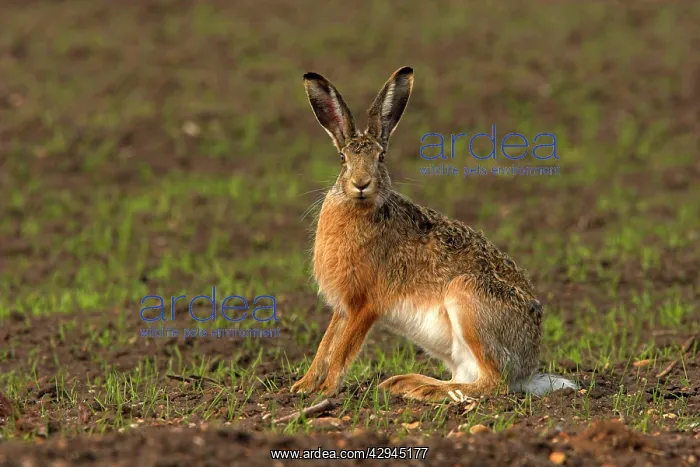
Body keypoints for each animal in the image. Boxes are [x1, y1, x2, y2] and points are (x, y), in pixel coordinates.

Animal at [290, 66, 578, 402]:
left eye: (381, 157)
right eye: (342, 159)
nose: (361, 183)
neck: (361, 208)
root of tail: (528, 368)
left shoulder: (365, 305)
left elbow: (343, 351)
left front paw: (326, 390)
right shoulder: (343, 308)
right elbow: (326, 344)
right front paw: (303, 385)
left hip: (468, 298)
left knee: (493, 384)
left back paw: (423, 389)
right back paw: (404, 382)